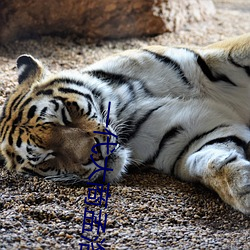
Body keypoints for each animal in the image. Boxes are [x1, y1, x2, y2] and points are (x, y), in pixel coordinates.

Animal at [0, 32, 250, 213]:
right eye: (48, 158)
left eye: (65, 116)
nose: (95, 155)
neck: (125, 106)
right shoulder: (187, 138)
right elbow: (210, 162)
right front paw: (243, 188)